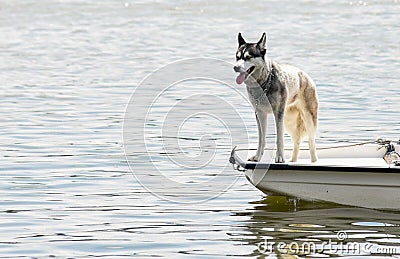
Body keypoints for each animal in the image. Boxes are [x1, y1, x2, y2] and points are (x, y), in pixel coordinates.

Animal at [233, 32, 318, 162]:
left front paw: (279, 157)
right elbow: (261, 139)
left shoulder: (278, 113)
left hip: (308, 119)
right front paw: (257, 157)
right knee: (297, 141)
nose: (235, 67)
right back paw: (293, 160)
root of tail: (305, 75)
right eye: (238, 57)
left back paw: (314, 161)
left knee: (311, 142)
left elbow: (279, 138)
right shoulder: (260, 113)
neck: (264, 84)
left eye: (248, 57)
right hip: (289, 120)